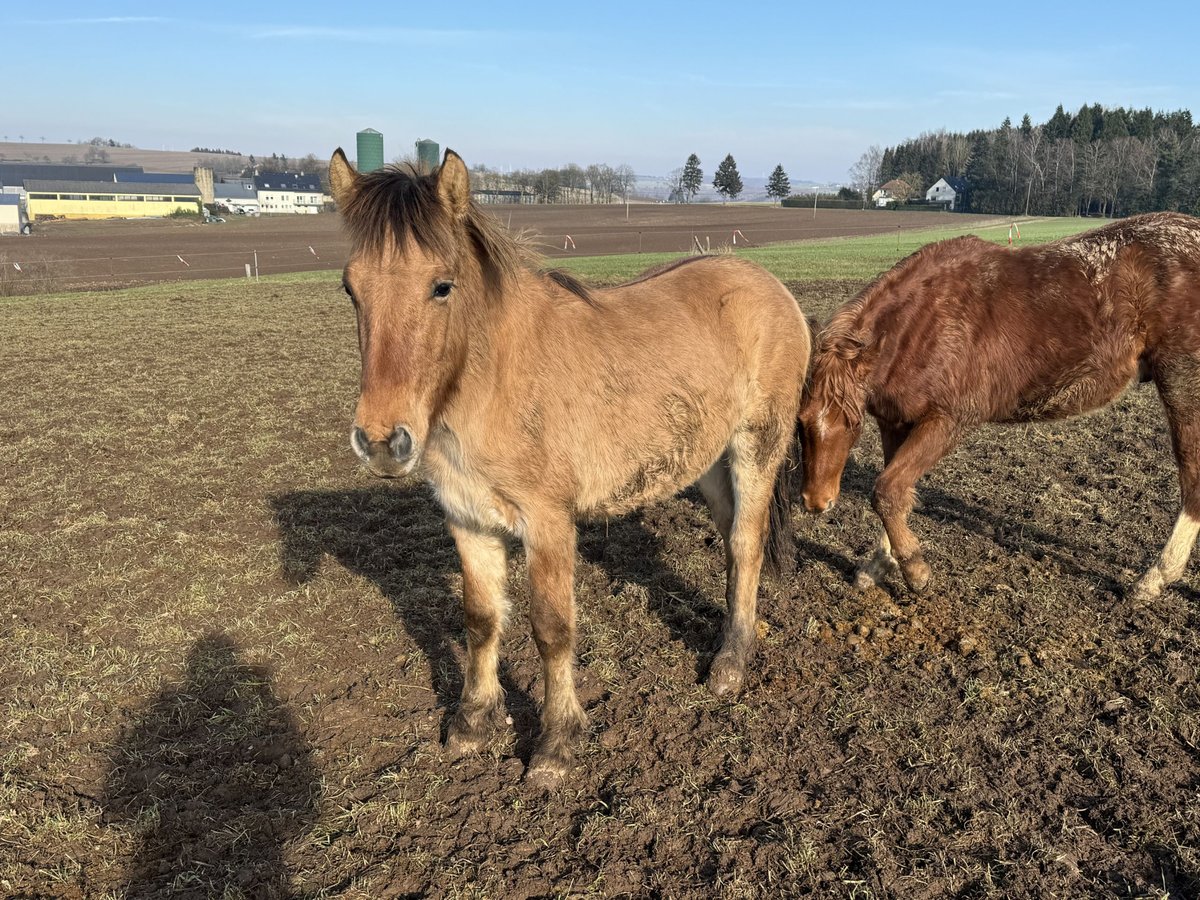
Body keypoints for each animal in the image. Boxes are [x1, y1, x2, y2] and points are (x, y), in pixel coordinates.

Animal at [333, 146, 811, 782]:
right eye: (349, 288)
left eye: (442, 286)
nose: (383, 442)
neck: (492, 380)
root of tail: (772, 287)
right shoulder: (466, 518)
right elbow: (480, 617)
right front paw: (472, 723)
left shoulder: (548, 523)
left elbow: (552, 629)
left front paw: (557, 744)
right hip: (708, 462)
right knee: (735, 543)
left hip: (757, 446)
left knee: (747, 541)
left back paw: (730, 664)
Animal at [801, 212, 1200, 602]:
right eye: (801, 421)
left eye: (851, 422)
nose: (816, 502)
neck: (921, 323)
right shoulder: (896, 422)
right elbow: (894, 491)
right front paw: (879, 565)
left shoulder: (948, 420)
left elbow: (887, 490)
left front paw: (916, 571)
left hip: (1181, 381)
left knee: (1192, 476)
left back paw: (1155, 579)